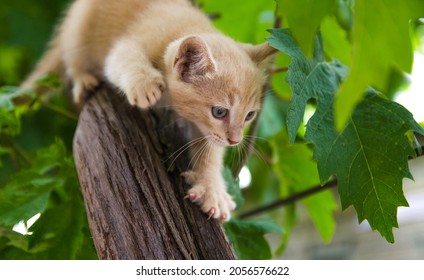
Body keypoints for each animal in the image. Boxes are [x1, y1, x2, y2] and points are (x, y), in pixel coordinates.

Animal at [21, 0, 276, 221]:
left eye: (249, 116)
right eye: (220, 112)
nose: (235, 141)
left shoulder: (208, 130)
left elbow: (210, 151)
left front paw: (211, 188)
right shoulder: (128, 43)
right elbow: (126, 57)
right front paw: (145, 85)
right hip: (78, 29)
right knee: (73, 57)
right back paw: (84, 79)